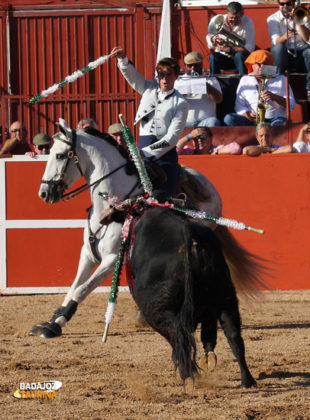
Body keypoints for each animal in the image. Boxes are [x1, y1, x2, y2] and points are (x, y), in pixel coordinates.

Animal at [29, 118, 225, 338]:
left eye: (60, 155)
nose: (44, 193)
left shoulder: (111, 259)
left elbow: (81, 290)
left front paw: (56, 324)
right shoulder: (87, 254)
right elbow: (73, 287)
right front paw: (52, 320)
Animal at [128, 205, 256, 388]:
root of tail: (188, 234)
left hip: (156, 309)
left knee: (178, 334)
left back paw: (187, 375)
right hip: (226, 295)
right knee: (234, 335)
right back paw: (246, 380)